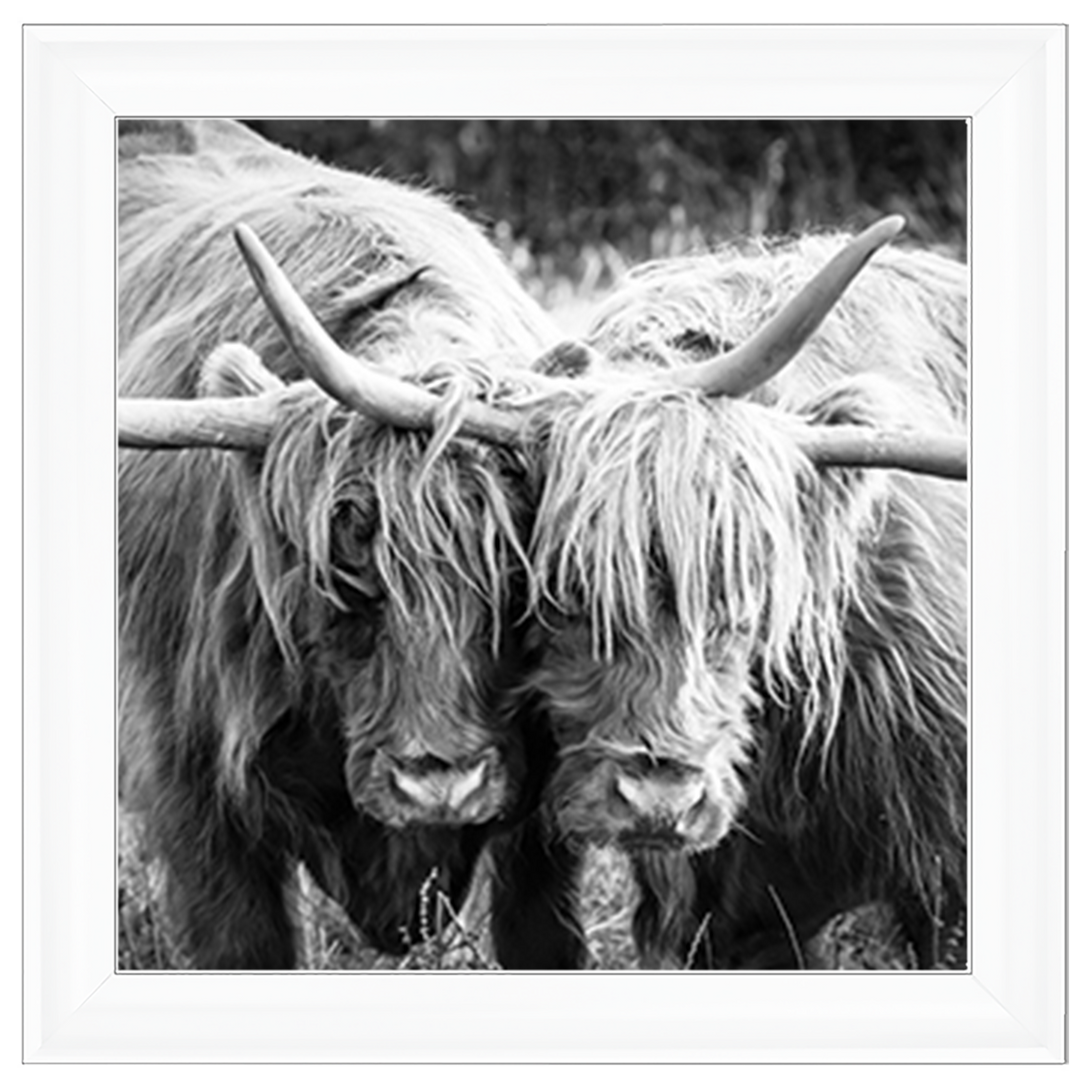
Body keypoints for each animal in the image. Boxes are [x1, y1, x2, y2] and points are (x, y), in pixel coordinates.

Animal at [117, 118, 584, 969]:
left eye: (517, 577)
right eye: (345, 569)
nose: (440, 785)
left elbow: (543, 934)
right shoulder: (189, 786)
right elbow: (243, 944)